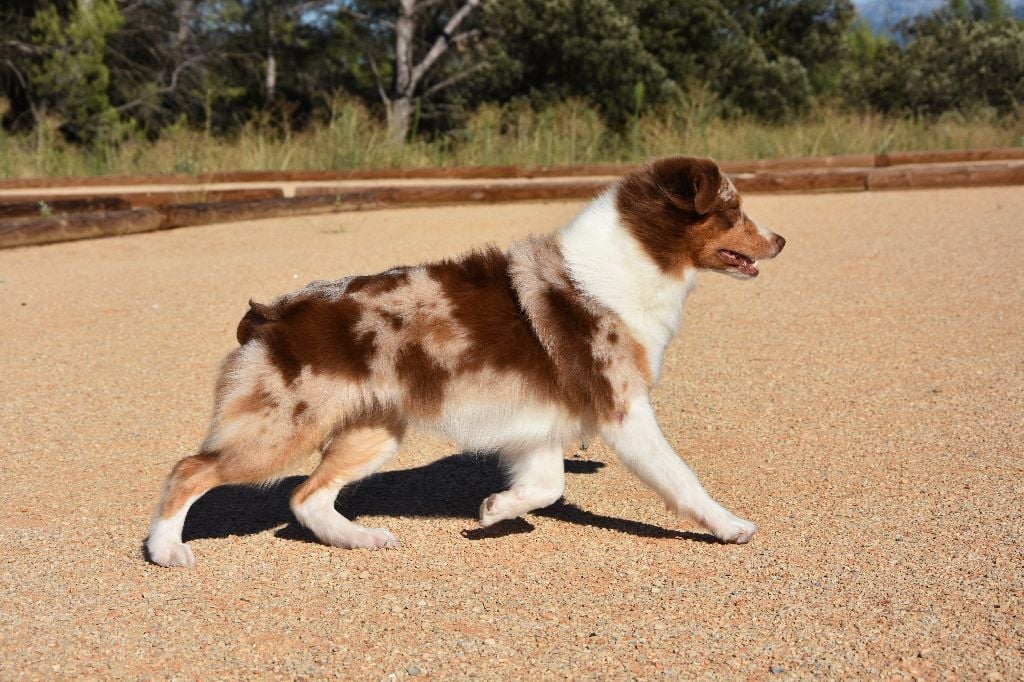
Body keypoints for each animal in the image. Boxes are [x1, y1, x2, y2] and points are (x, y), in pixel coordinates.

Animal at [144, 156, 782, 565]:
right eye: (733, 211)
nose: (780, 241)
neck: (633, 260)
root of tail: (271, 313)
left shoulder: (538, 423)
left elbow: (546, 486)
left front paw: (496, 511)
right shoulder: (623, 410)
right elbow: (682, 479)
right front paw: (730, 527)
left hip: (373, 431)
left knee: (306, 498)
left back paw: (360, 540)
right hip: (281, 432)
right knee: (190, 470)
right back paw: (166, 549)